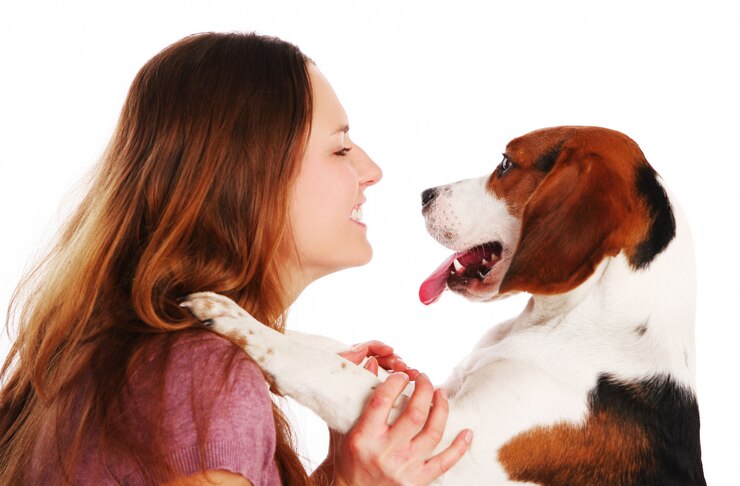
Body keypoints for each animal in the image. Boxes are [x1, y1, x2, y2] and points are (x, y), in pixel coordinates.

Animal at [182, 127, 708, 484]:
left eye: (505, 164)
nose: (424, 194)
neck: (576, 322)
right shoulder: (437, 395)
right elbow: (330, 350)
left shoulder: (455, 439)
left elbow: (327, 370)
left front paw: (240, 323)